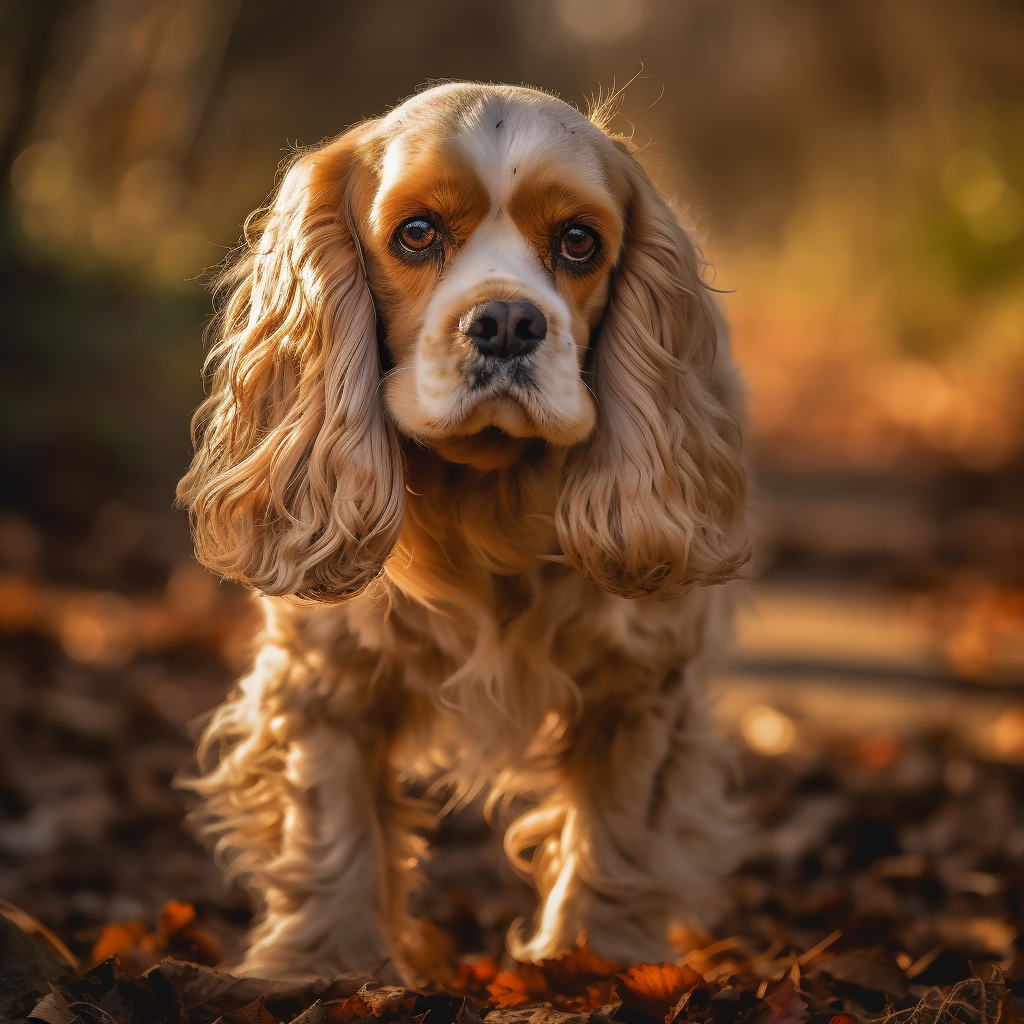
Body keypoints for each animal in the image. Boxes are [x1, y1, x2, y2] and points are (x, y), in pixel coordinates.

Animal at [176, 86, 749, 983]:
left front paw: (602, 959)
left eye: (579, 241)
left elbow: (618, 835)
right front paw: (324, 964)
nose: (509, 320)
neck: (491, 493)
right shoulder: (326, 677)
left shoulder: (641, 685)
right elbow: (331, 827)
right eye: (416, 233)